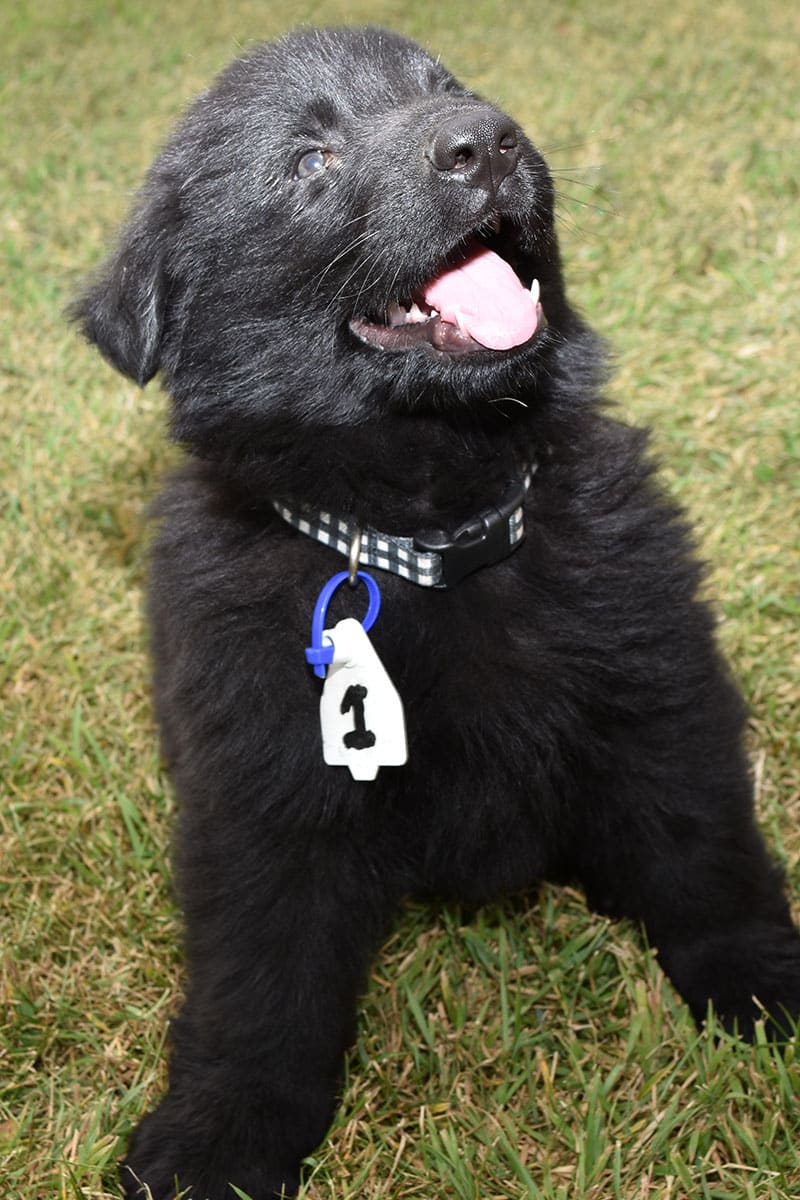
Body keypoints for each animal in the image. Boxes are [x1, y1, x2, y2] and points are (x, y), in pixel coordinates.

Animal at [73, 25, 800, 1200]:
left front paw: (761, 983)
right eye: (308, 160)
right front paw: (221, 1133)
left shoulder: (660, 705)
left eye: (445, 87)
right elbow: (258, 987)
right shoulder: (260, 797)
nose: (487, 139)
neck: (428, 538)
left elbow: (706, 859)